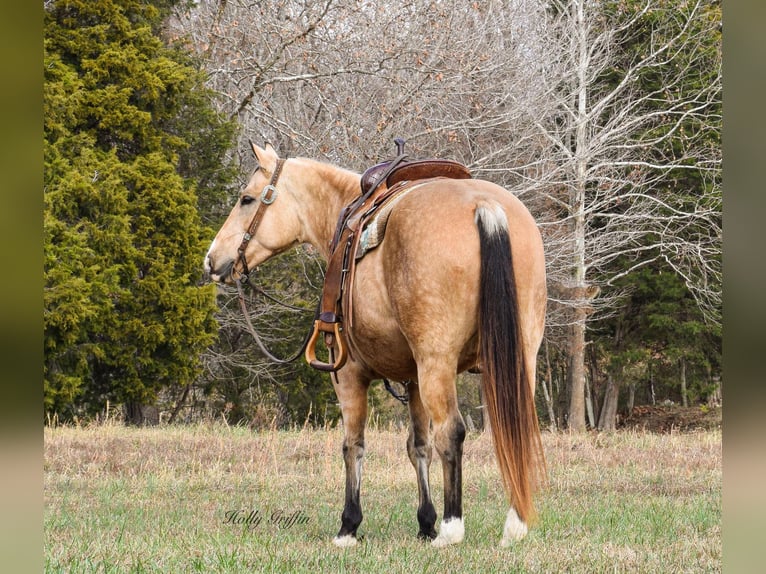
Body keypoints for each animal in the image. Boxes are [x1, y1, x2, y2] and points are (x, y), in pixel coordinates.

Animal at [207, 142, 548, 548]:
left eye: (247, 199)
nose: (212, 260)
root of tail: (485, 205)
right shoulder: (413, 380)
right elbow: (418, 446)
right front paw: (425, 521)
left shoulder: (349, 375)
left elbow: (353, 445)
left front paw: (349, 525)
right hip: (518, 358)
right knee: (513, 428)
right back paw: (515, 524)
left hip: (438, 363)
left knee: (452, 431)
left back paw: (452, 529)